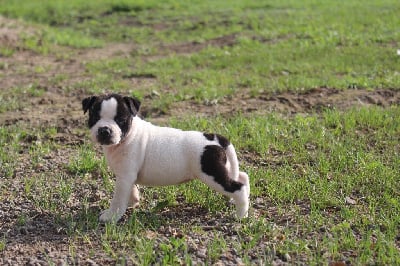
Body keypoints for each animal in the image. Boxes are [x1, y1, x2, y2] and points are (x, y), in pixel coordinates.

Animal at [81, 94, 250, 222]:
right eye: (94, 117)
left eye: (120, 120)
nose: (104, 130)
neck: (127, 136)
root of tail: (214, 139)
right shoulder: (126, 176)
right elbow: (131, 190)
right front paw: (133, 202)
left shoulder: (124, 177)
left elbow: (118, 199)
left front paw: (111, 216)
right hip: (222, 169)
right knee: (242, 176)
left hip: (212, 174)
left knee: (238, 187)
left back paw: (240, 215)